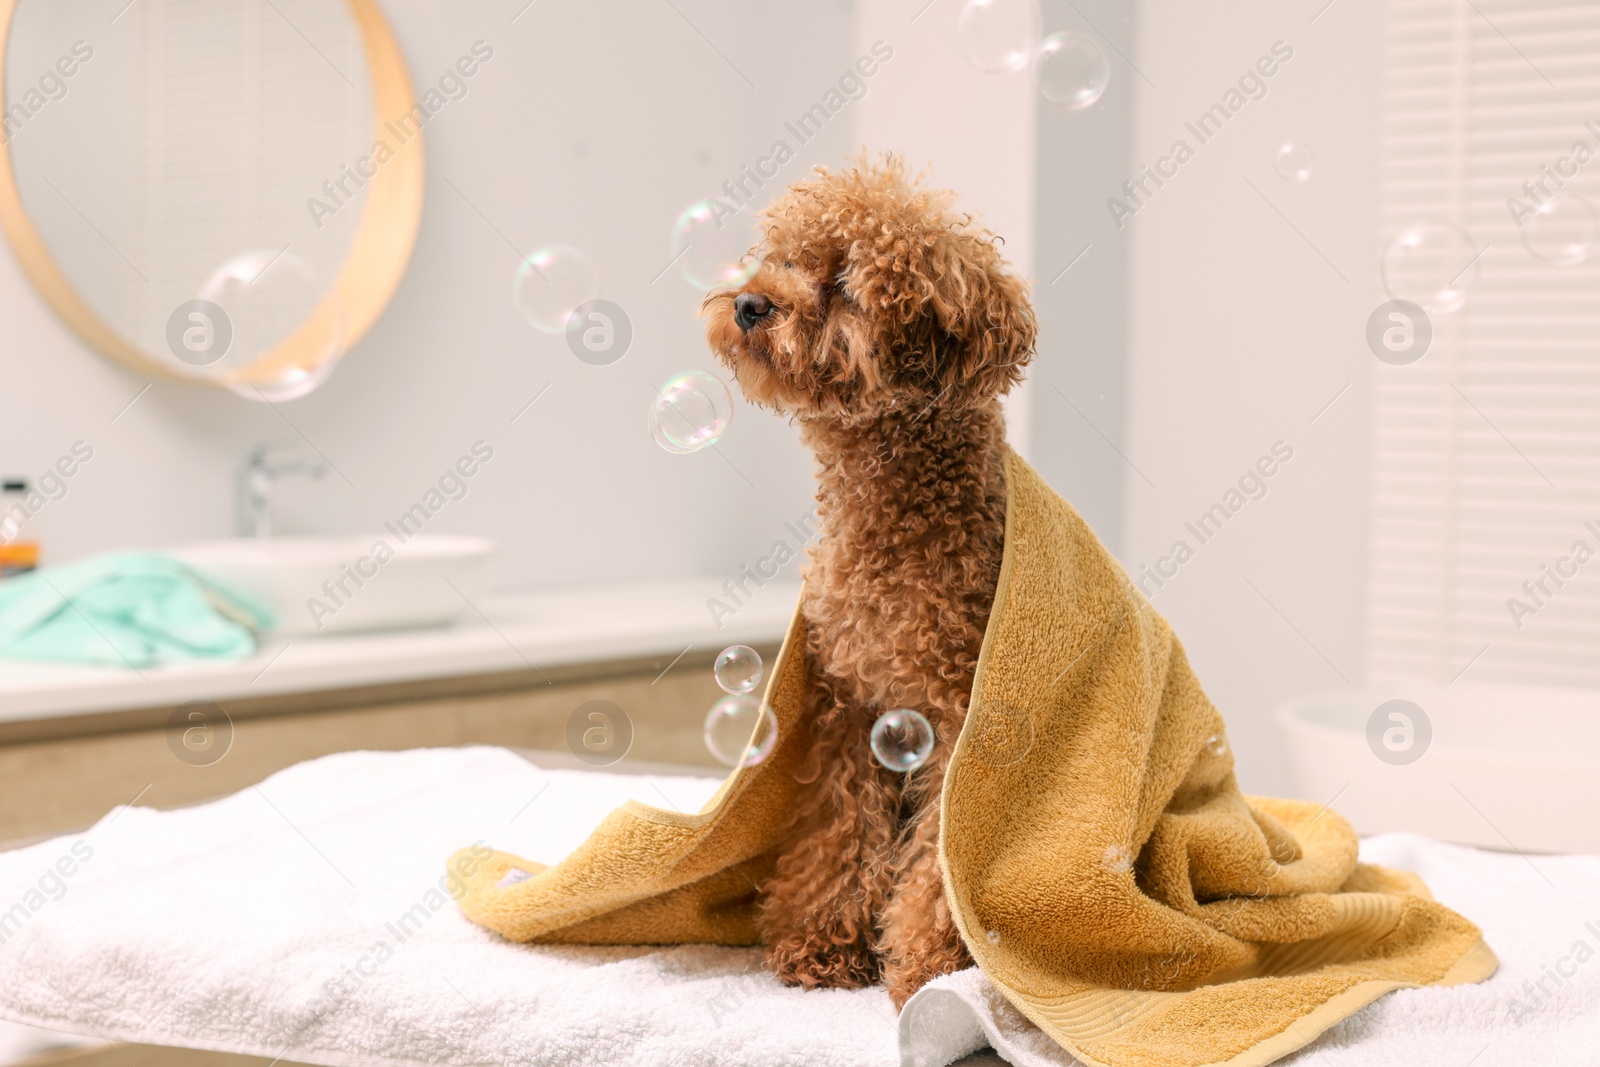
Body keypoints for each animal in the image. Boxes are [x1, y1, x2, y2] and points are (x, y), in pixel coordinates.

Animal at [704, 154, 1036, 1004]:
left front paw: (931, 964)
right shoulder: (852, 709)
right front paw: (823, 939)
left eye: (848, 281)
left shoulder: (960, 722)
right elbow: (840, 832)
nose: (749, 303)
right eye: (783, 258)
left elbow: (944, 865)